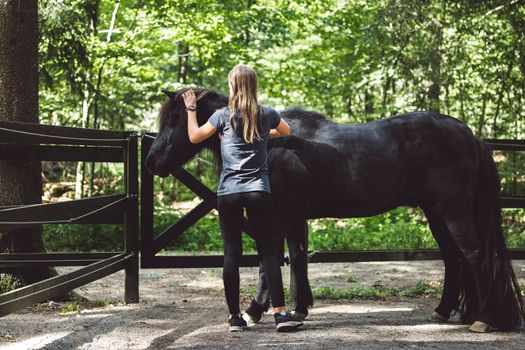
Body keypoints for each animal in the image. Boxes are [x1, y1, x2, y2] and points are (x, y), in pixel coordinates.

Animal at [145, 87, 524, 330]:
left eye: (175, 120)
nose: (151, 162)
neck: (269, 140)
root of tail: (468, 133)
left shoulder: (277, 215)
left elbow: (269, 264)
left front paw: (255, 311)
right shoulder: (294, 217)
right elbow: (296, 258)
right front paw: (299, 310)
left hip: (452, 211)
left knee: (474, 255)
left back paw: (483, 320)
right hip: (435, 214)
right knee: (453, 258)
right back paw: (444, 312)